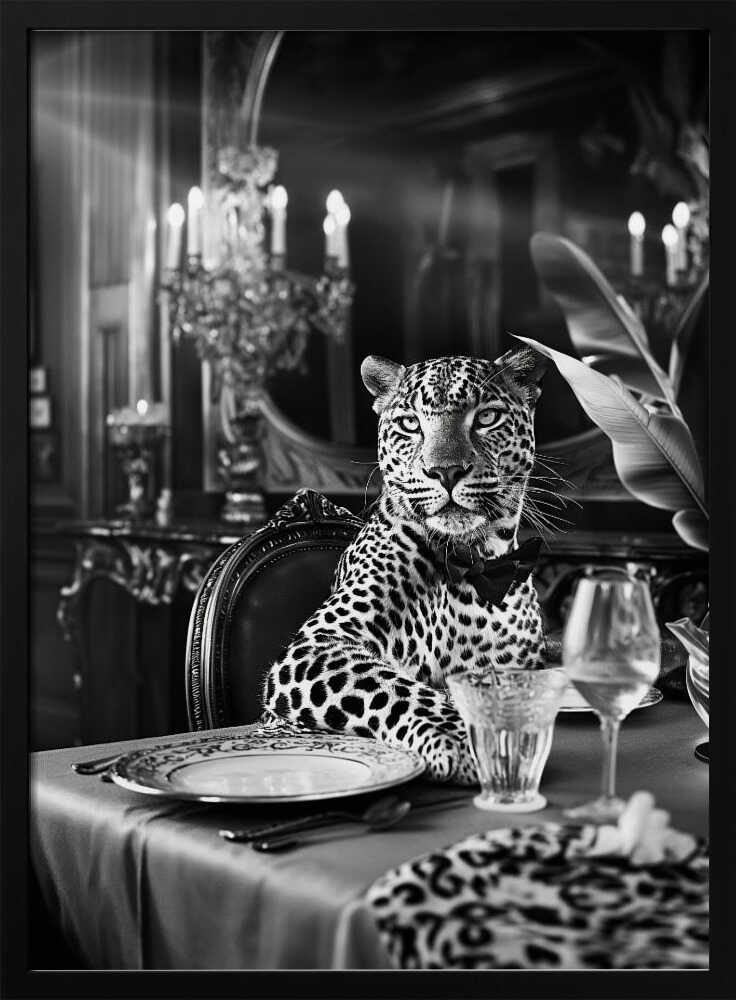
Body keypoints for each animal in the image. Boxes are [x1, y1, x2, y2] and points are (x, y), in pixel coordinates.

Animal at [263, 349, 550, 784]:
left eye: (486, 417)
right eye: (410, 424)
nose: (446, 471)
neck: (474, 563)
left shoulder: (523, 666)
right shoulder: (316, 645)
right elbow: (393, 687)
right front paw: (466, 741)